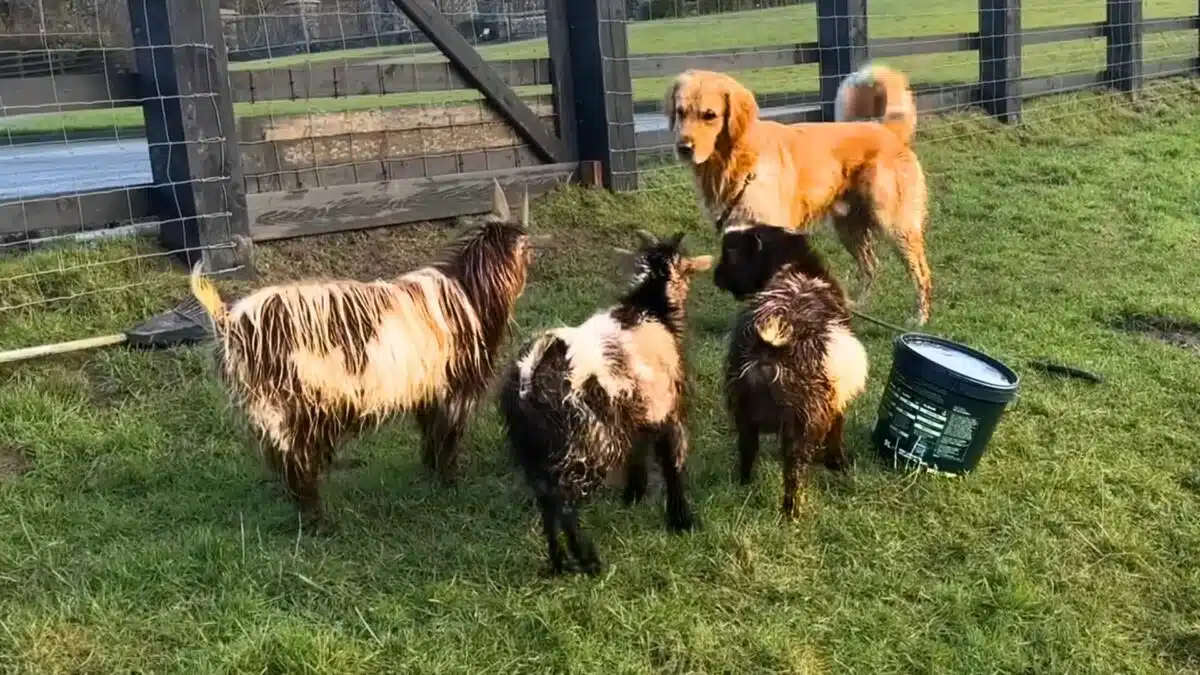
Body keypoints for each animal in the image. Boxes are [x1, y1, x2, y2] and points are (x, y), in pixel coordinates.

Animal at [189, 180, 537, 526]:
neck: (468, 292)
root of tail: (232, 322)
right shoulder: (454, 389)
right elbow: (446, 436)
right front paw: (450, 480)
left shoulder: (428, 389)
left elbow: (430, 435)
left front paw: (431, 473)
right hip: (296, 409)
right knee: (298, 465)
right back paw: (320, 522)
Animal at [499, 229, 710, 571]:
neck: (651, 306)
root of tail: (530, 375)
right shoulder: (666, 409)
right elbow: (671, 464)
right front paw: (682, 520)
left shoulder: (638, 412)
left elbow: (638, 453)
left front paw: (634, 495)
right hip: (585, 442)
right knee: (564, 501)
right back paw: (588, 560)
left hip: (534, 449)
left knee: (545, 499)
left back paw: (558, 563)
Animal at [710, 223, 873, 516]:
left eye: (732, 254)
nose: (717, 276)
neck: (797, 266)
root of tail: (771, 344)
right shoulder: (835, 402)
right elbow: (838, 426)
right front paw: (837, 462)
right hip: (803, 422)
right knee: (793, 471)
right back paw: (793, 513)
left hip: (742, 409)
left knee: (747, 451)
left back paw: (744, 486)